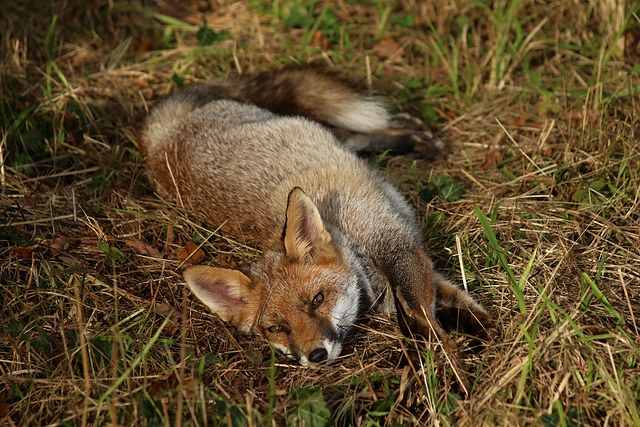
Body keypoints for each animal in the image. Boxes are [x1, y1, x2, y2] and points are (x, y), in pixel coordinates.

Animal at [139, 69, 490, 382]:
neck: (347, 238)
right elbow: (443, 307)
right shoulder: (405, 264)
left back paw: (413, 137)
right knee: (353, 136)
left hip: (306, 127)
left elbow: (428, 313)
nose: (316, 356)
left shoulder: (400, 251)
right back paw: (412, 137)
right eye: (277, 328)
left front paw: (454, 360)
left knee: (350, 134)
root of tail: (156, 142)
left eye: (317, 300)